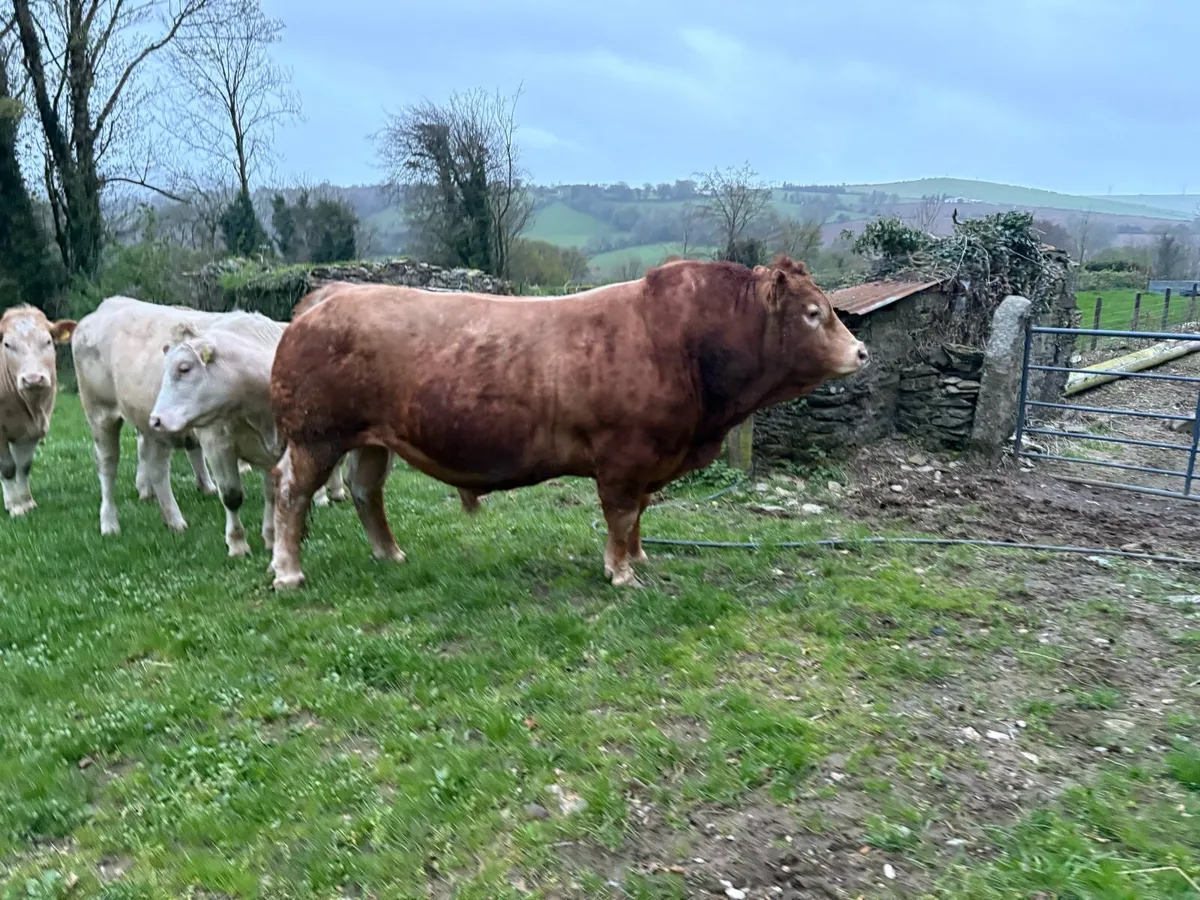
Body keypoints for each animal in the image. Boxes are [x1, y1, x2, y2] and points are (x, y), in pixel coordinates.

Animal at [0, 305, 77, 516]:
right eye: (7, 344)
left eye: (48, 341)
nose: (33, 379)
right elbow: (7, 467)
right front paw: (16, 507)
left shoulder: (31, 431)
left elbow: (23, 467)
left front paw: (26, 502)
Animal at [266, 255, 869, 591]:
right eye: (813, 313)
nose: (862, 352)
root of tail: (332, 293)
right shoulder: (625, 456)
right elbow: (621, 514)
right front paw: (622, 572)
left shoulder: (649, 459)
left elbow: (639, 514)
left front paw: (639, 556)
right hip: (316, 436)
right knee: (291, 491)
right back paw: (288, 572)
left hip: (372, 438)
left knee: (364, 491)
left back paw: (389, 554)